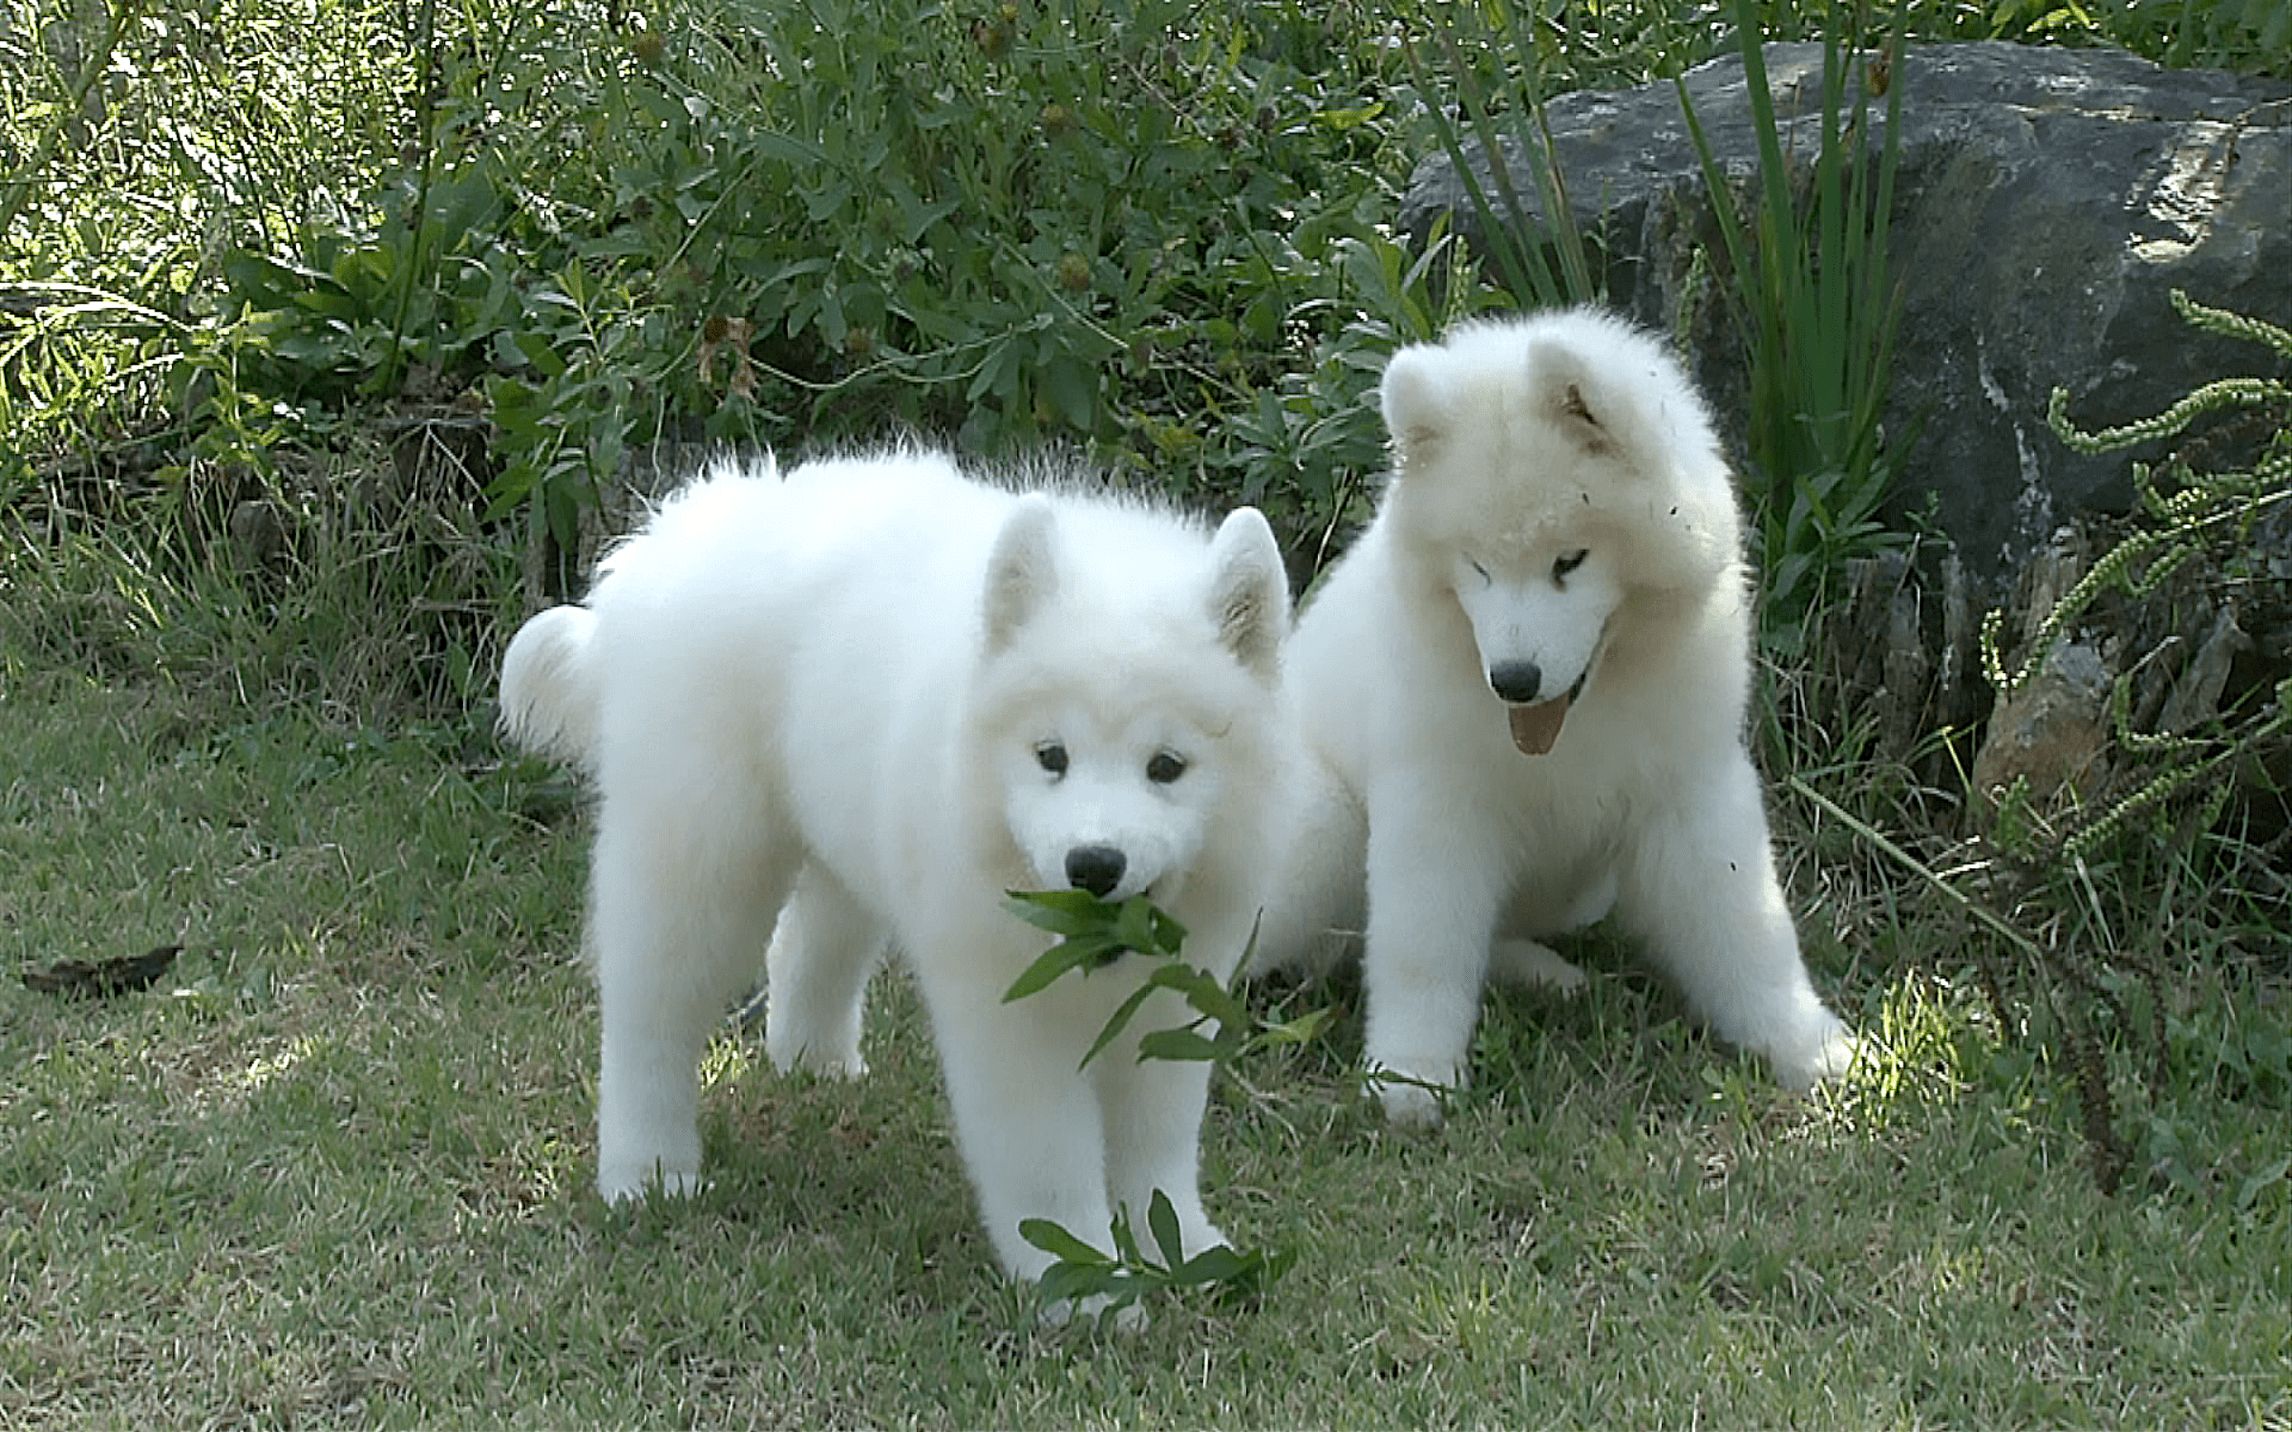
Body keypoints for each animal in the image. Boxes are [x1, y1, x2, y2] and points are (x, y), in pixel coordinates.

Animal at [501, 446, 1292, 1283]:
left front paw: (1181, 1247)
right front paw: (1081, 1283)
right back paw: (648, 1172)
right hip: (699, 850)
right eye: (1051, 756)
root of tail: (667, 541)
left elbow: (1157, 1142)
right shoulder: (1008, 1019)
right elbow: (1047, 1164)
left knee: (808, 946)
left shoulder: (1174, 1001)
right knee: (649, 1008)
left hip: (844, 834)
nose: (1094, 865)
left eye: (1167, 766)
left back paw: (814, 1065)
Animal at [1256, 307, 1861, 1122]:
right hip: (1321, 830)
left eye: (1568, 561)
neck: (1578, 720)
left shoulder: (1690, 790)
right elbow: (1424, 943)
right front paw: (1413, 1074)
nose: (1513, 681)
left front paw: (1805, 1044)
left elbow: (1745, 925)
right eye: (1477, 565)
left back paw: (1547, 975)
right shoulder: (1438, 801)